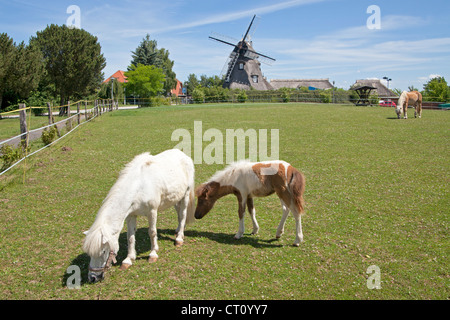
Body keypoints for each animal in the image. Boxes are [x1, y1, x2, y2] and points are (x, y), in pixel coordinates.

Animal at [82, 149, 195, 282]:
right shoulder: (131, 215)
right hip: (175, 197)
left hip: (185, 195)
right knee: (178, 213)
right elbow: (130, 237)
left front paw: (153, 254)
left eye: (104, 251)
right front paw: (128, 260)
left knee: (183, 215)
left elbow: (152, 232)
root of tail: (183, 155)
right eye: (90, 254)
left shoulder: (152, 211)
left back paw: (179, 238)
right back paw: (177, 231)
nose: (93, 277)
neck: (139, 186)